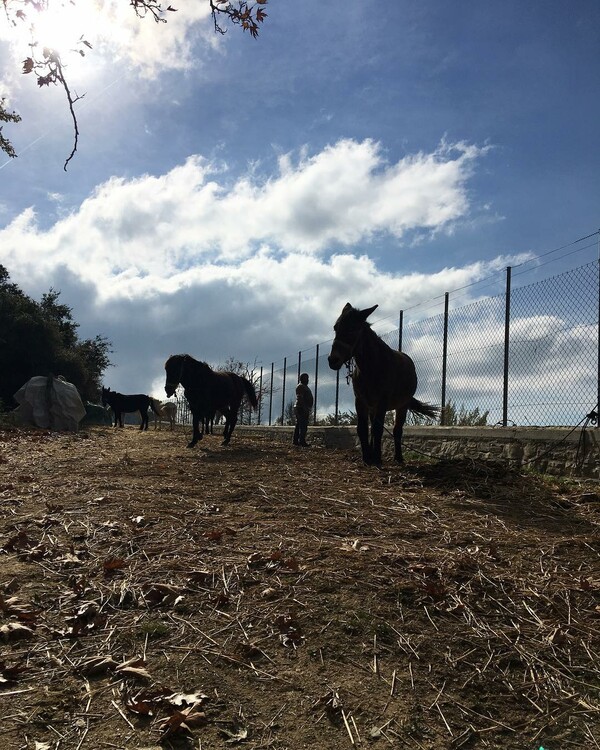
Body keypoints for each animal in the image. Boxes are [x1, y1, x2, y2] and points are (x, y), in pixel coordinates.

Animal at [326, 302, 438, 468]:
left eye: (353, 329)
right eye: (335, 327)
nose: (333, 360)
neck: (371, 367)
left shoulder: (382, 401)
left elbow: (379, 429)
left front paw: (377, 458)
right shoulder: (361, 401)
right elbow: (363, 428)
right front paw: (367, 458)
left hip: (402, 405)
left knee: (397, 430)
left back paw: (398, 457)